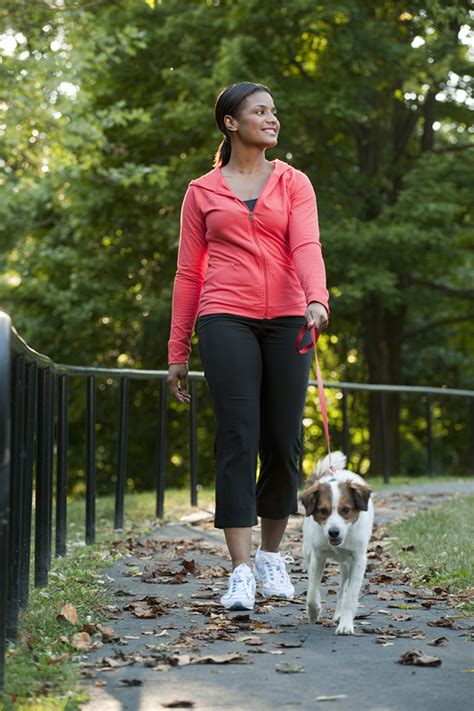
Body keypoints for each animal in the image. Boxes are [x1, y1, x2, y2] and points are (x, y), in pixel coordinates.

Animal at [300, 450, 374, 636]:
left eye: (345, 510)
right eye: (322, 511)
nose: (333, 532)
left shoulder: (359, 560)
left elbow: (350, 596)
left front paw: (346, 624)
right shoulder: (318, 556)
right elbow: (311, 592)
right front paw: (314, 612)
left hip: (347, 565)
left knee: (342, 590)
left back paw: (340, 615)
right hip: (308, 553)